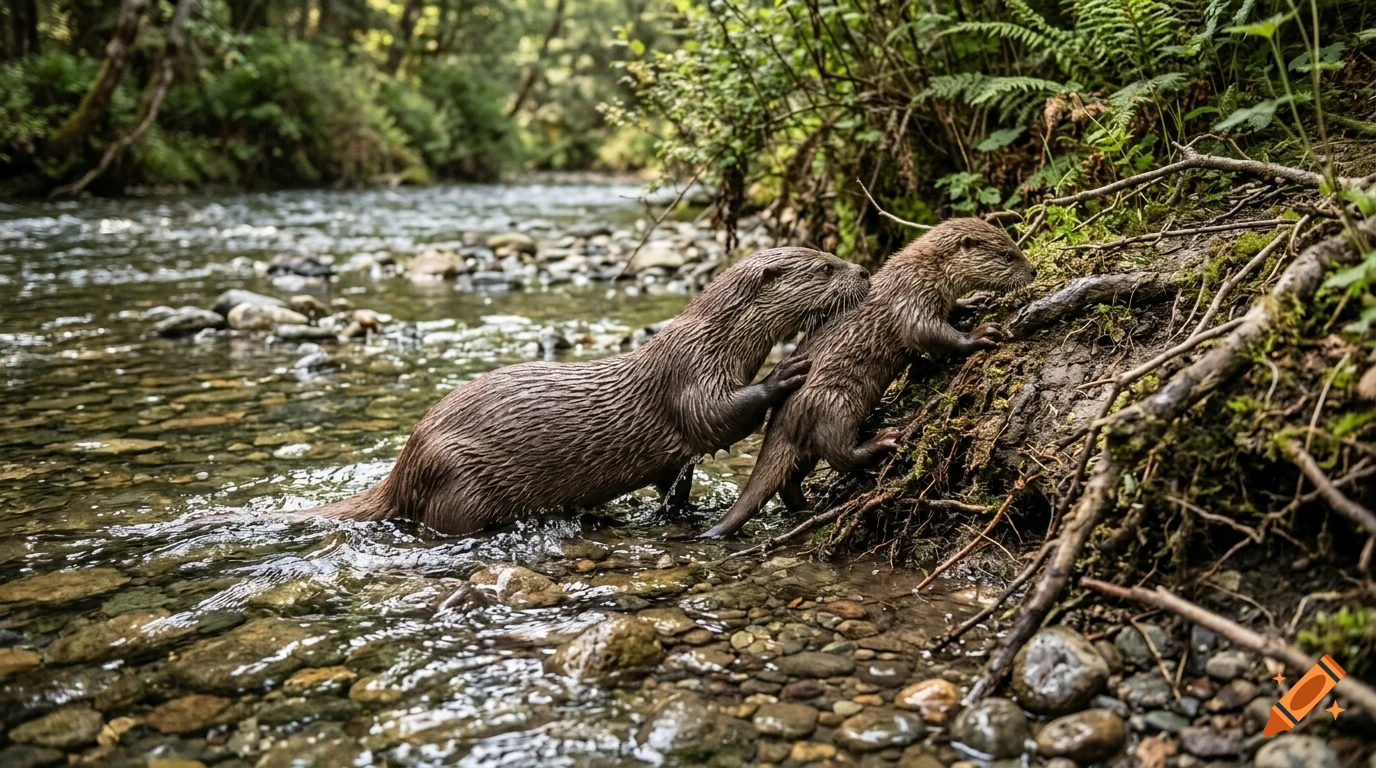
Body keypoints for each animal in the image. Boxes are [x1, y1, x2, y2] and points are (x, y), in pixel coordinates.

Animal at [304, 247, 870, 535]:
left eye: (832, 254)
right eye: (826, 267)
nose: (865, 270)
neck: (712, 340)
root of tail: (404, 466)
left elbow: (676, 478)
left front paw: (681, 511)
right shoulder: (688, 375)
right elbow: (715, 418)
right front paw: (786, 370)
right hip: (457, 480)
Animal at [700, 218, 1037, 539]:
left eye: (1014, 246)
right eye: (1008, 255)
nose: (1033, 271)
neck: (924, 272)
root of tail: (783, 420)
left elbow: (949, 311)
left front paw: (973, 300)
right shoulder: (911, 300)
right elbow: (931, 334)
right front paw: (979, 334)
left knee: (792, 478)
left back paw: (805, 509)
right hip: (835, 401)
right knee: (840, 455)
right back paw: (881, 440)